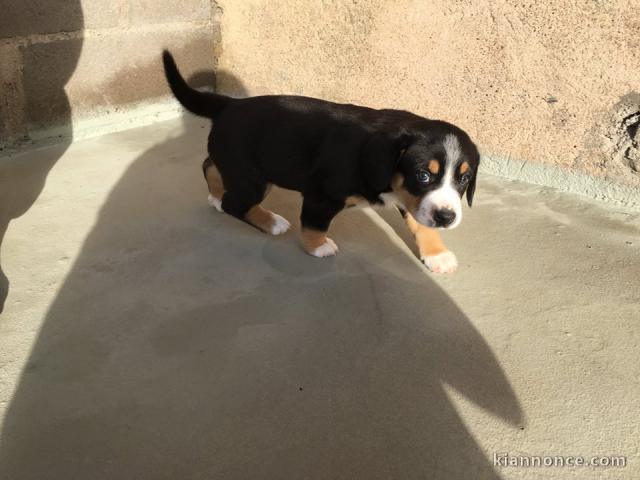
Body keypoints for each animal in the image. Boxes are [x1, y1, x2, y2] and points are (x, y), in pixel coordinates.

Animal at [162, 51, 478, 274]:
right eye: (423, 175)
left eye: (463, 178)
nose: (447, 217)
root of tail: (229, 104)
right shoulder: (323, 194)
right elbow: (315, 225)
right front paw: (318, 248)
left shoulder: (411, 197)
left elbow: (422, 223)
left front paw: (437, 255)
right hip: (253, 177)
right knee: (235, 203)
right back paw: (270, 222)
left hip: (238, 165)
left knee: (210, 167)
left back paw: (216, 195)